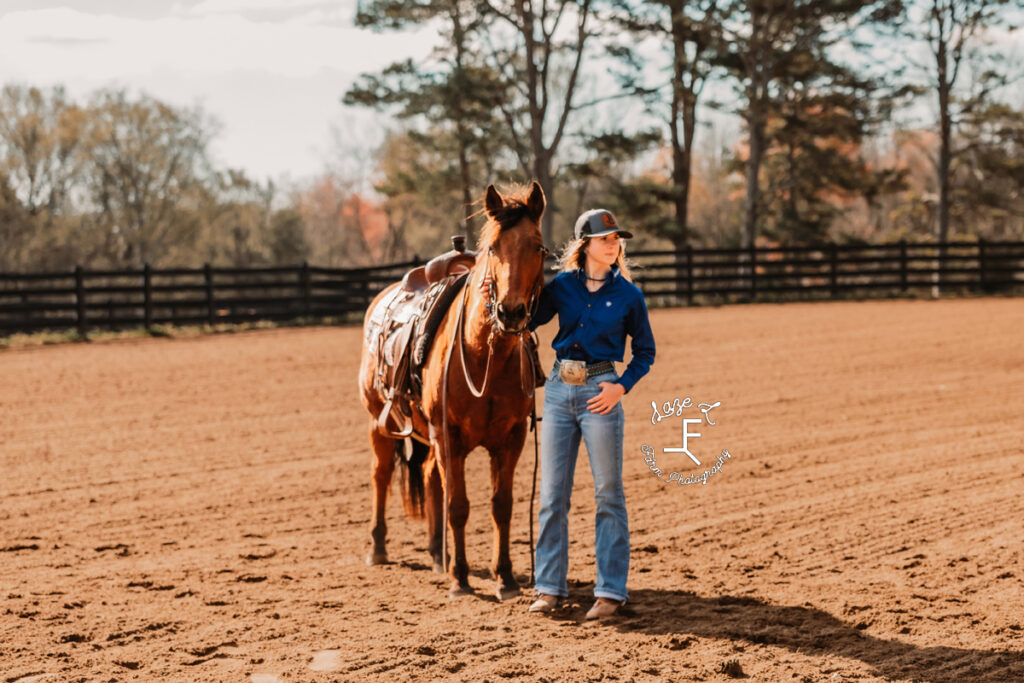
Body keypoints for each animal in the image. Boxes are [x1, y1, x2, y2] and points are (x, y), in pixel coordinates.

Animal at [360, 180, 552, 598]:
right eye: (493, 247)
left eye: (538, 246)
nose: (510, 312)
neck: (484, 360)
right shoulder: (450, 438)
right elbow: (459, 506)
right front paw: (460, 578)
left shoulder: (511, 439)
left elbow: (501, 505)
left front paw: (505, 577)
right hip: (380, 421)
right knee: (381, 474)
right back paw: (379, 547)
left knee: (430, 474)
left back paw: (436, 553)